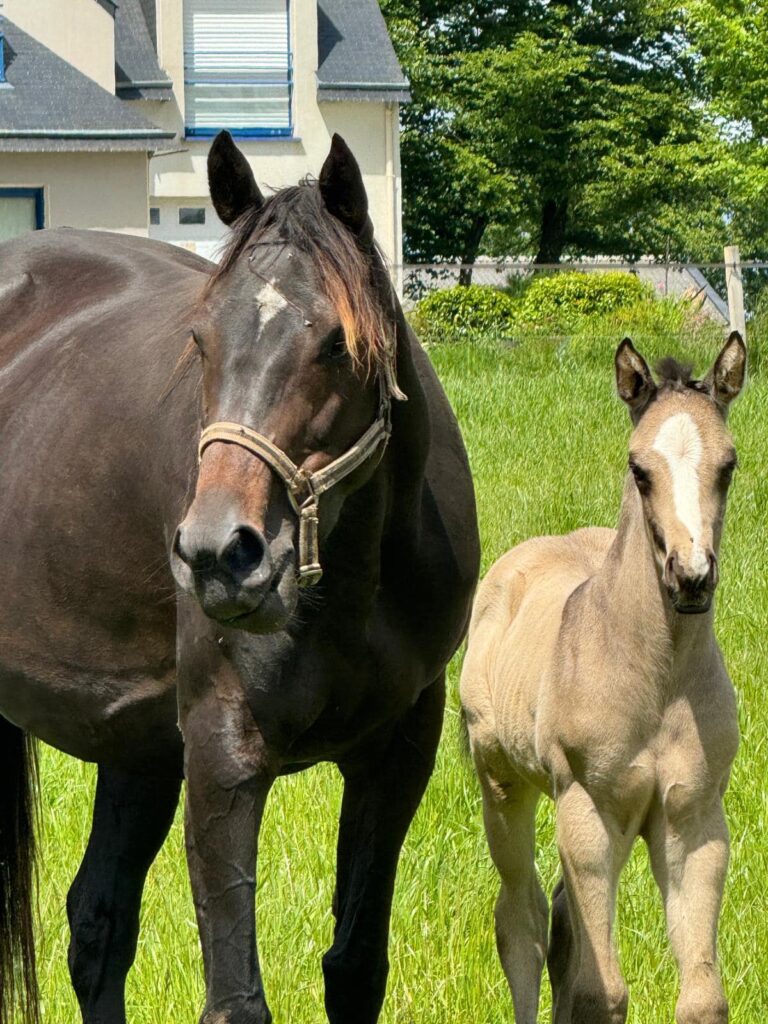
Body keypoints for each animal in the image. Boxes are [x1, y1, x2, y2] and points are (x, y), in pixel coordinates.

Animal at [0, 130, 479, 1024]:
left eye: (336, 344)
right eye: (200, 341)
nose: (219, 555)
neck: (353, 586)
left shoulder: (397, 753)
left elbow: (355, 967)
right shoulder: (224, 757)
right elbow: (236, 1000)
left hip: (137, 744)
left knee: (98, 927)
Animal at [462, 337, 745, 1024]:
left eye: (727, 467)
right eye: (640, 469)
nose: (691, 577)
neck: (657, 679)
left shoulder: (695, 820)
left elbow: (703, 997)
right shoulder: (588, 810)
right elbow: (601, 991)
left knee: (563, 923)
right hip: (504, 785)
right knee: (523, 920)